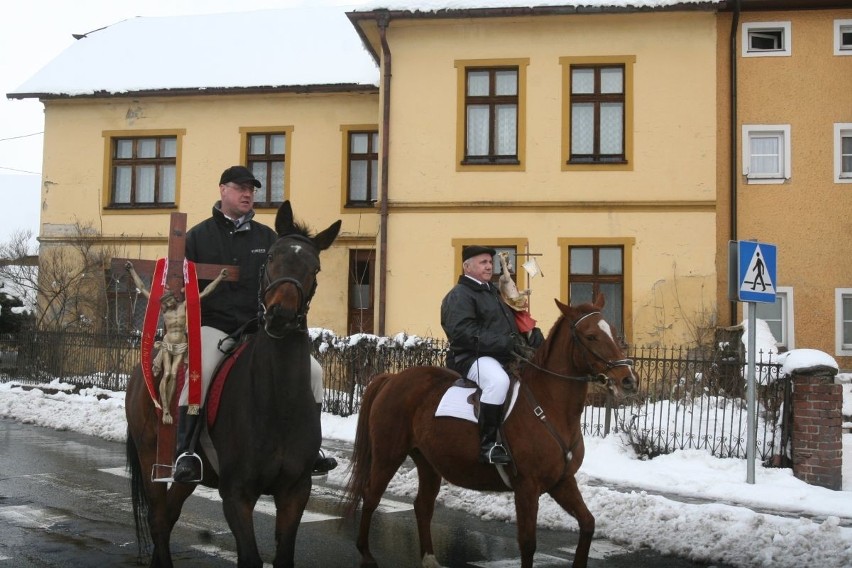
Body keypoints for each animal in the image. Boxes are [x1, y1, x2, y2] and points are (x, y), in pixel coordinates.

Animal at [125, 202, 342, 564]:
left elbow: (283, 556)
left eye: (315, 267)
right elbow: (250, 557)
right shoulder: (236, 494)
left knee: (167, 517)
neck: (277, 399)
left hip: (186, 478)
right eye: (271, 256)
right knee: (157, 518)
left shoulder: (295, 491)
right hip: (149, 458)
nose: (280, 315)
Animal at [342, 296, 636, 568]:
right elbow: (528, 543)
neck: (550, 406)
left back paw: (429, 558)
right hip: (388, 456)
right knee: (371, 496)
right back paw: (366, 554)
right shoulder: (527, 487)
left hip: (428, 462)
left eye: (612, 330)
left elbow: (588, 524)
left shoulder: (562, 482)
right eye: (591, 336)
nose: (628, 380)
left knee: (422, 506)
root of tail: (392, 378)